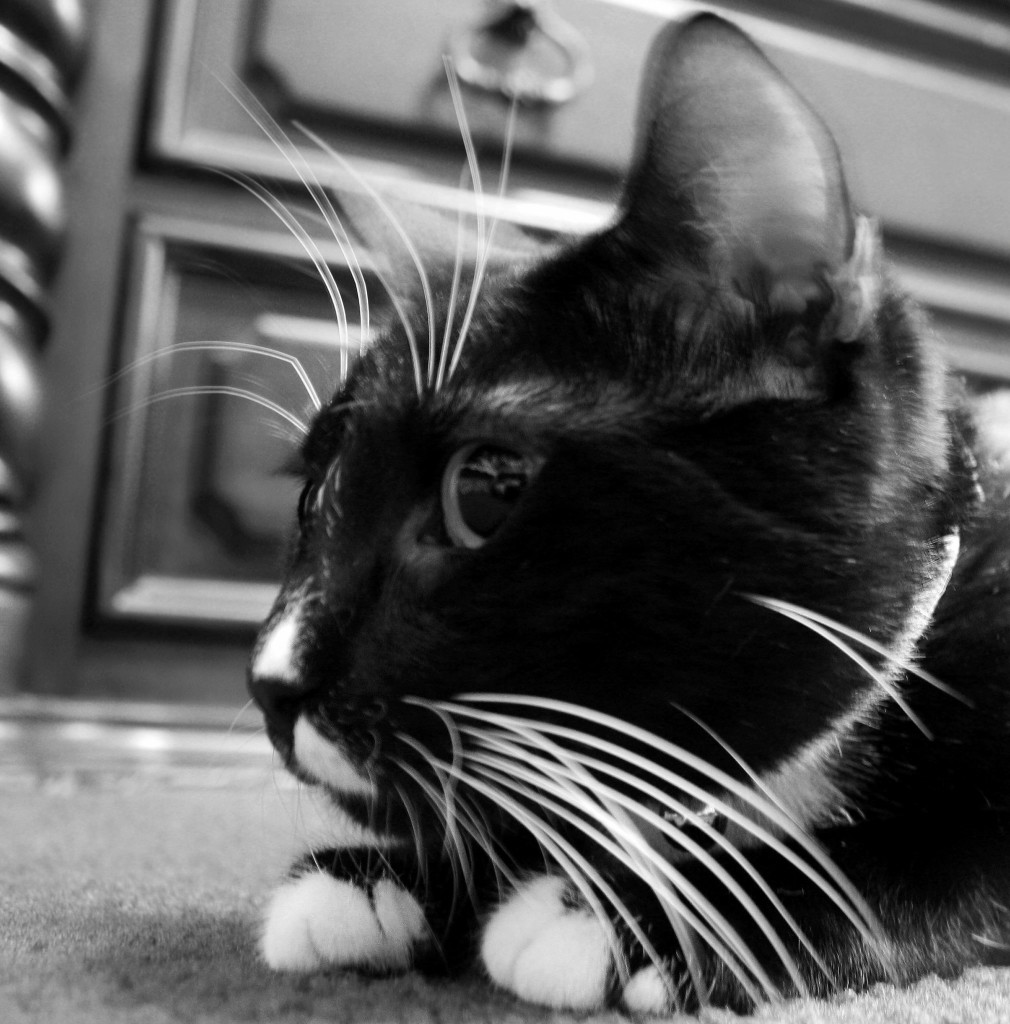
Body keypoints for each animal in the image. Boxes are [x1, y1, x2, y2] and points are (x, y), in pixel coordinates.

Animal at [241, 12, 1007, 1011]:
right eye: (314, 494)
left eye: (482, 491)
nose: (269, 684)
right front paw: (390, 881)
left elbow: (941, 857)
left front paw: (636, 916)